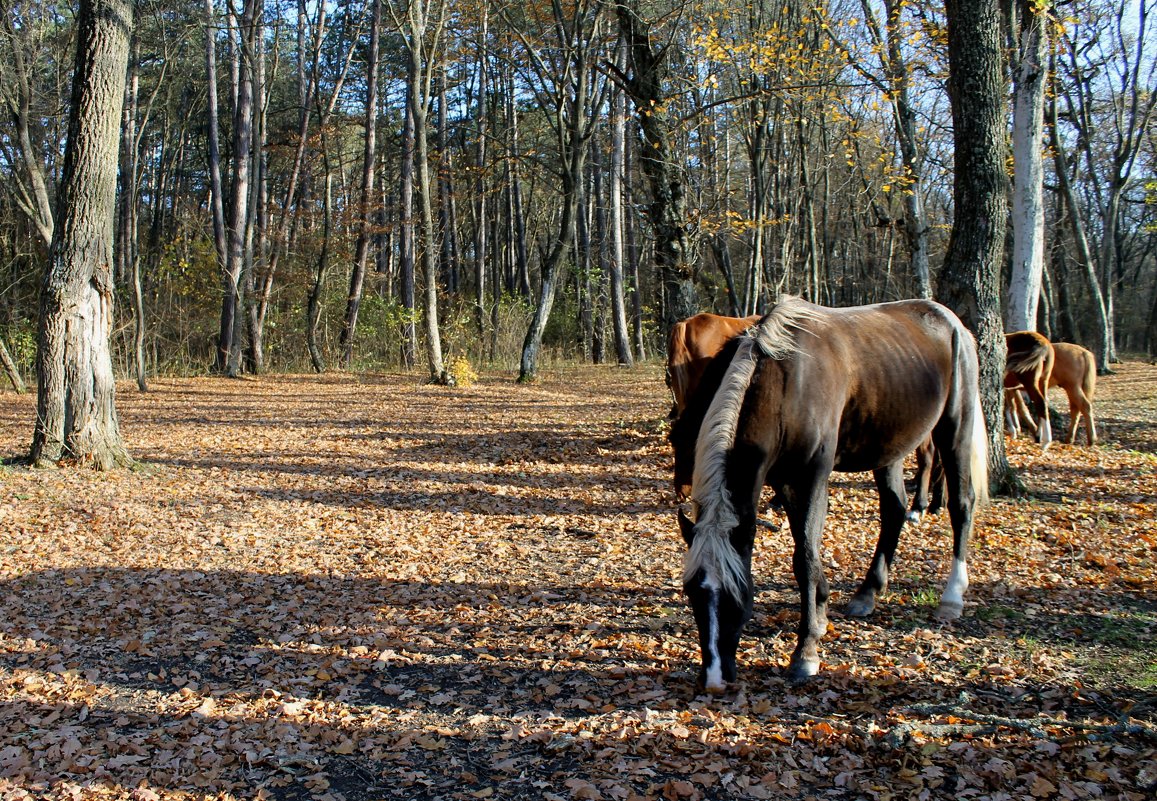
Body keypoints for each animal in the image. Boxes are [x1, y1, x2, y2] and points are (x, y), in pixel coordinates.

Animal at [675, 295, 990, 689]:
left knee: (962, 506)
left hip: (955, 428)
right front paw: (821, 616)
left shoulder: (812, 476)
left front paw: (806, 652)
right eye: (692, 592)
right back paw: (868, 593)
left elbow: (806, 559)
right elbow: (805, 550)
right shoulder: (784, 481)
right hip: (890, 448)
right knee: (894, 510)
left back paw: (952, 597)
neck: (787, 380)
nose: (715, 679)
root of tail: (951, 321)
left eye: (737, 593)